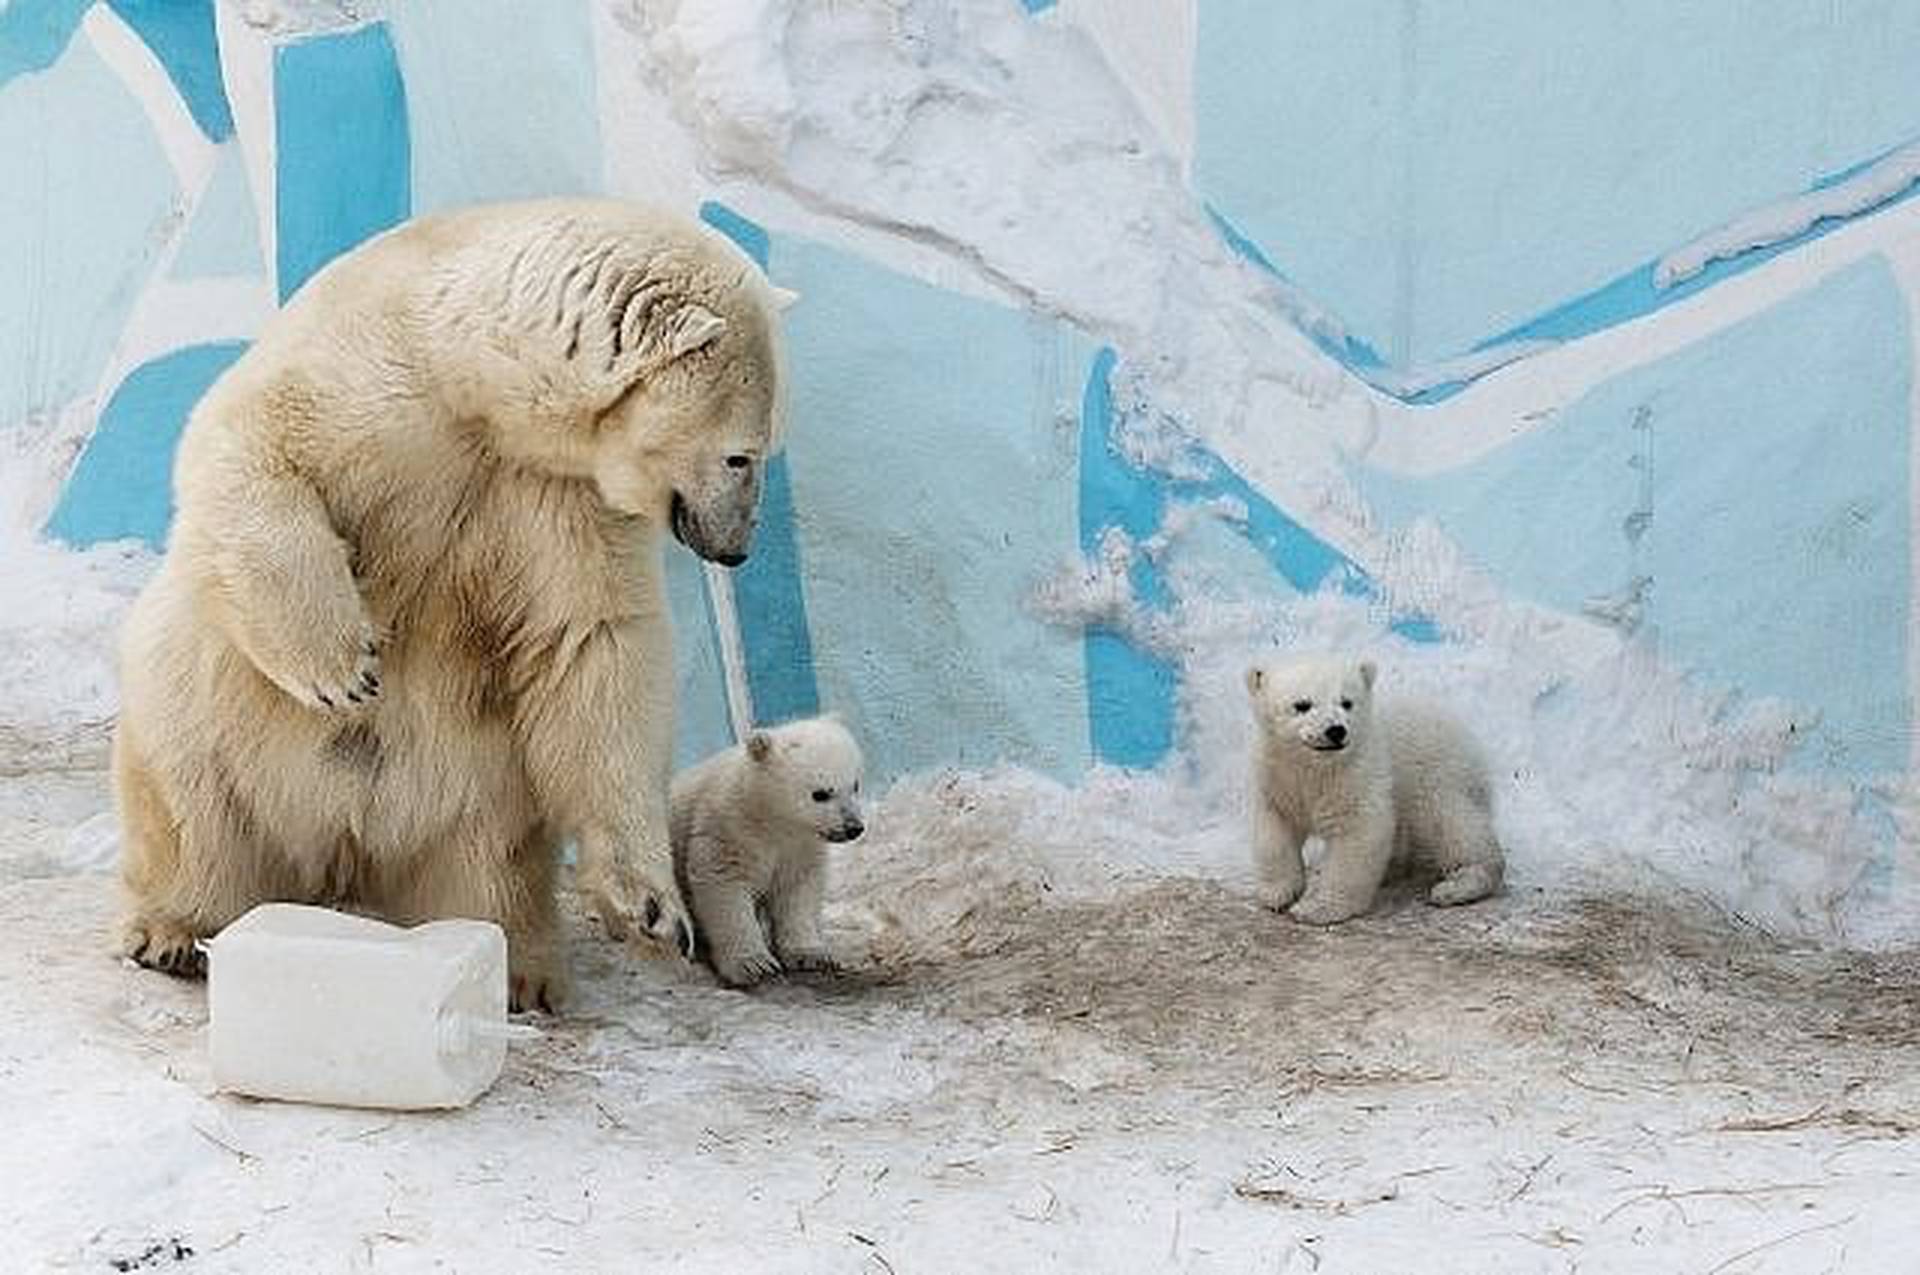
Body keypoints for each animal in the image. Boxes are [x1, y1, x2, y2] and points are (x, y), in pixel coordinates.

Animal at [112, 199, 791, 1013]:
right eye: (741, 455)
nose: (737, 550)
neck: (474, 381)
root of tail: (344, 855)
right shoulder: (371, 380)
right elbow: (251, 449)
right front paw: (345, 668)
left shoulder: (559, 493)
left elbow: (595, 642)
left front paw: (652, 908)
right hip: (203, 716)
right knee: (194, 809)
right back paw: (172, 933)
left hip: (482, 786)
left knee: (490, 866)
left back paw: (520, 974)